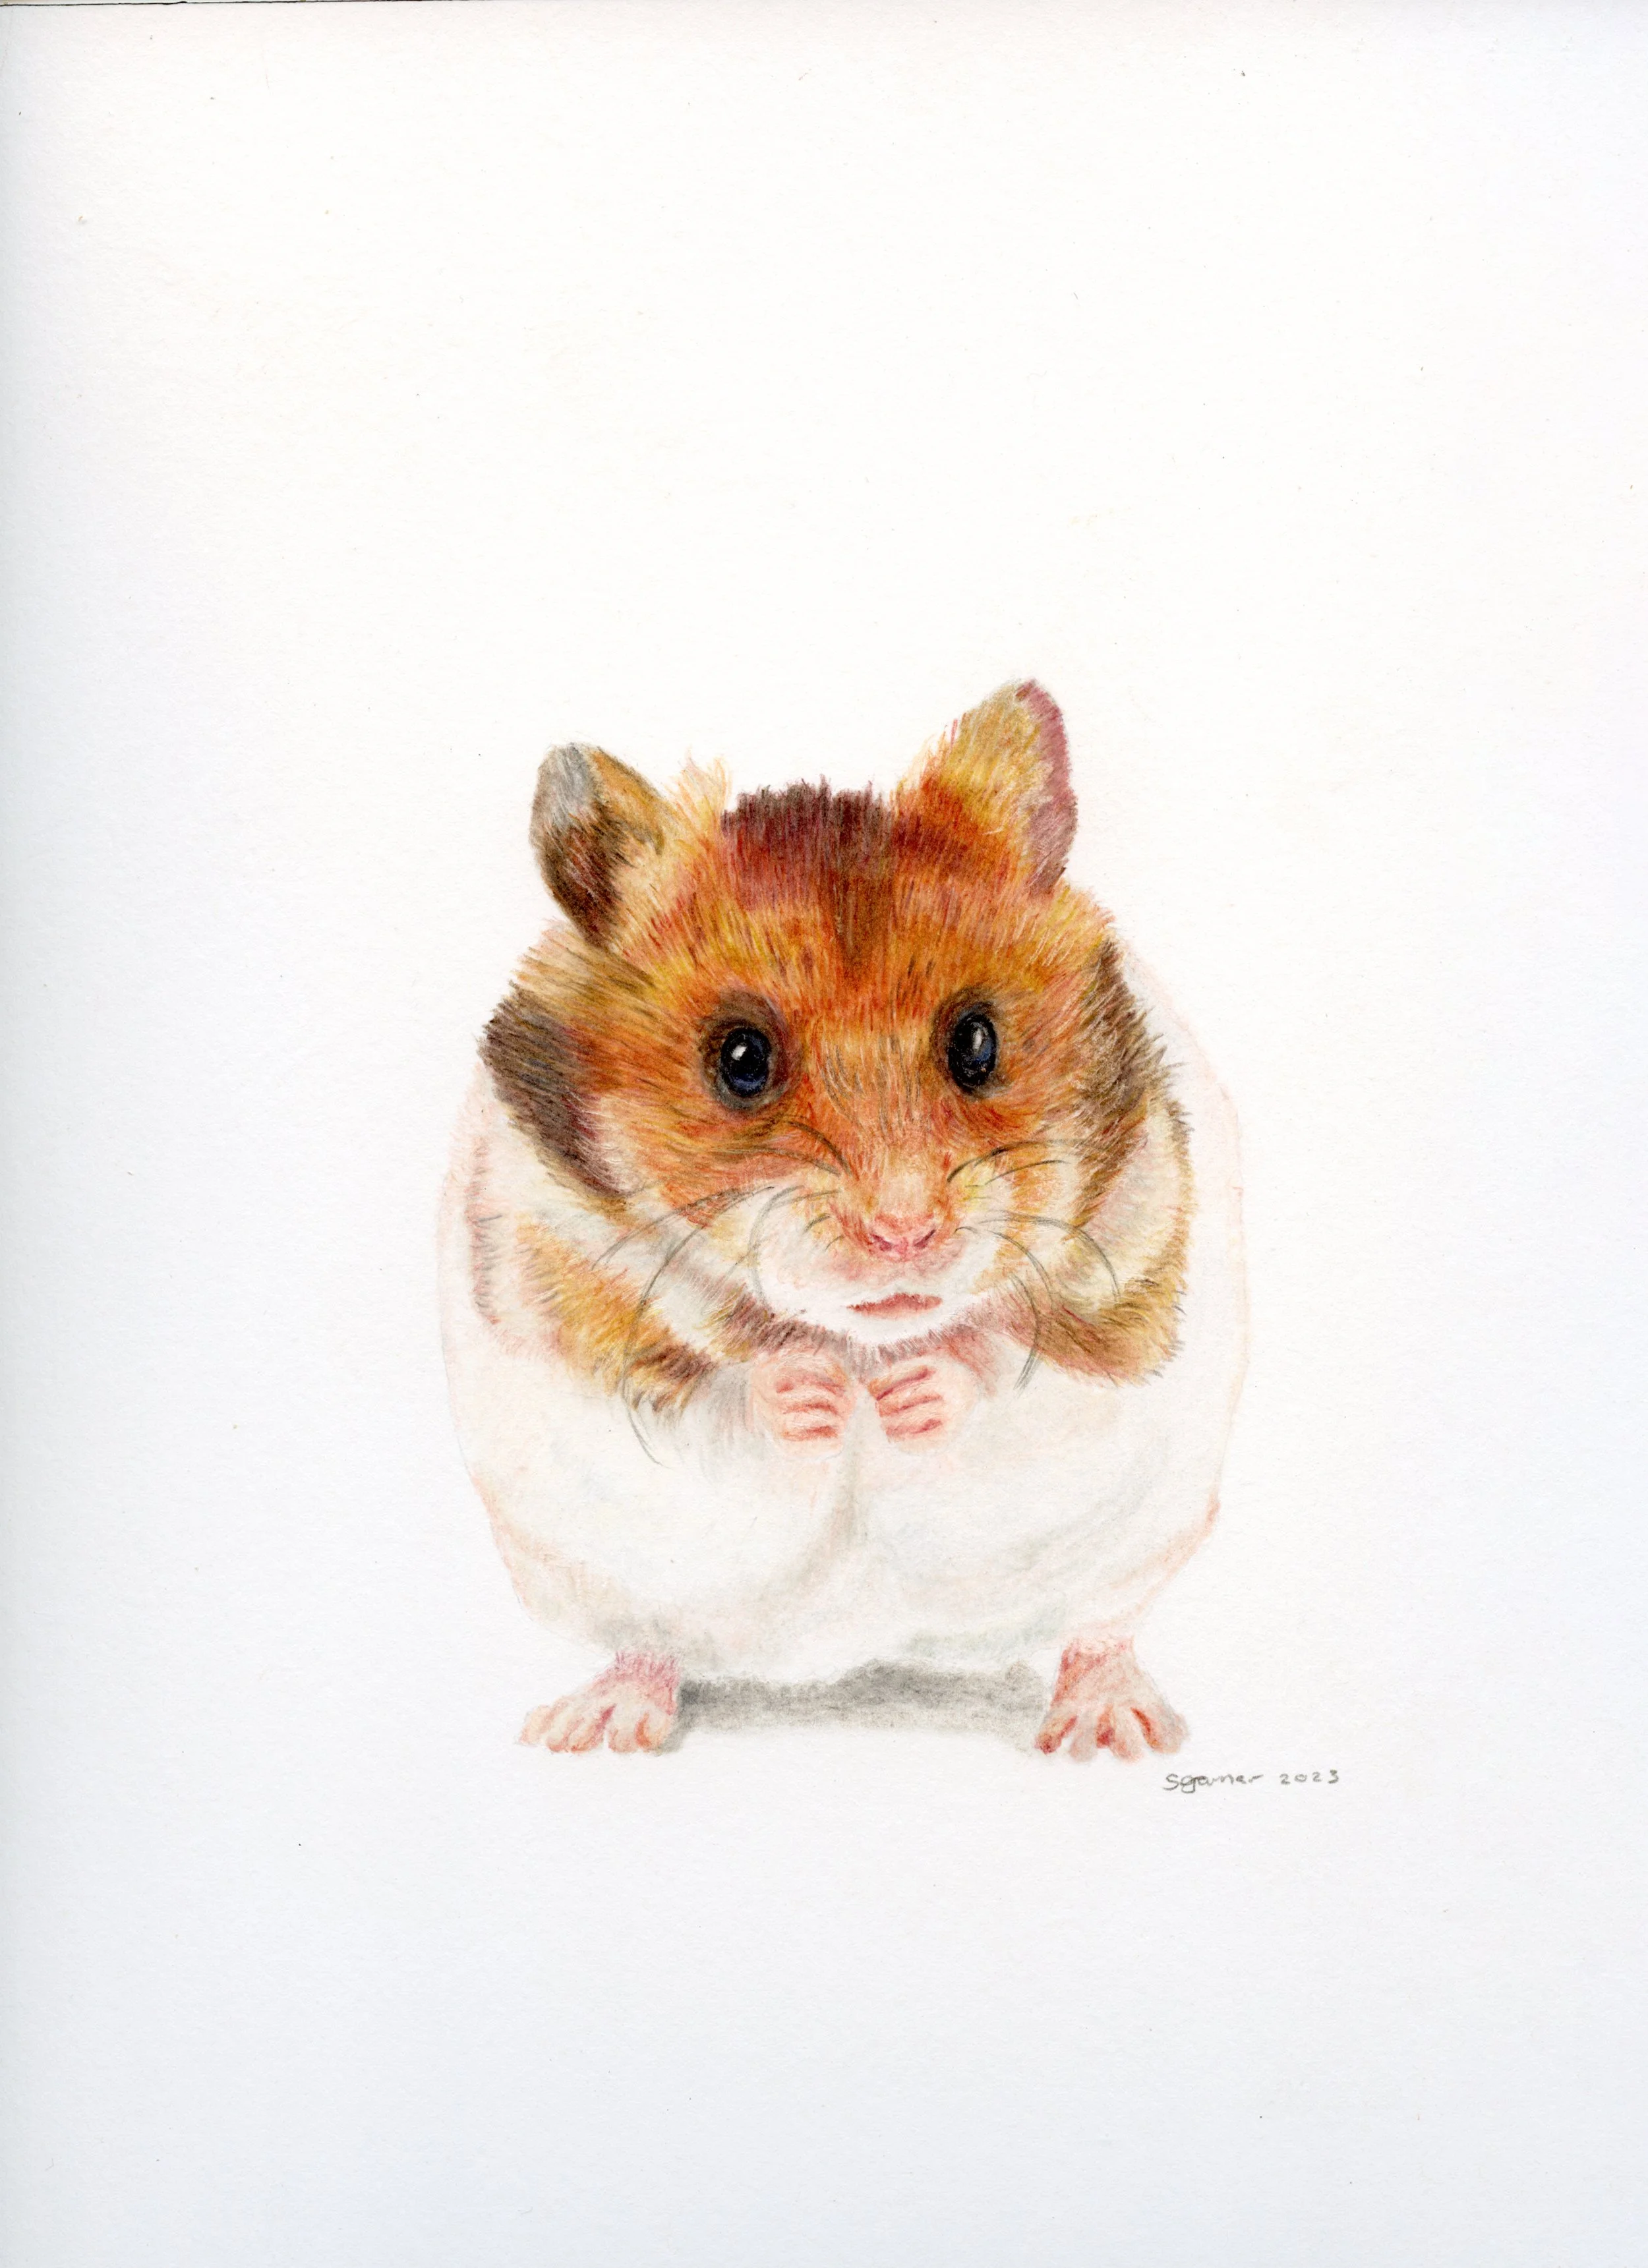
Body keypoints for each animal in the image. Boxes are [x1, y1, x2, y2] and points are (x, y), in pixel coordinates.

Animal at [438, 682, 1245, 1758]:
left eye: (978, 1042)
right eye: (740, 1059)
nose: (904, 1234)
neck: (863, 1342)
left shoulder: (1144, 1271)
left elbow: (1021, 1365)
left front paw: (910, 1393)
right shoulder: (552, 1289)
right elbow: (709, 1382)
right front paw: (814, 1394)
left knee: (1098, 1630)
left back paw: (1112, 1730)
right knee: (646, 1643)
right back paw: (596, 1726)